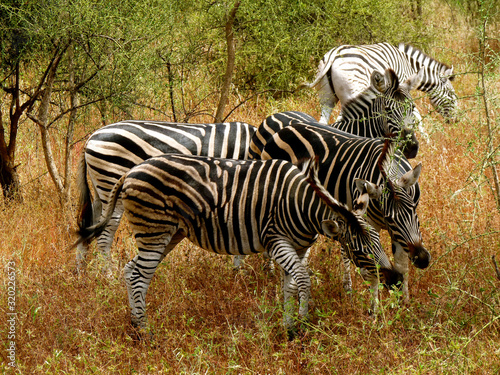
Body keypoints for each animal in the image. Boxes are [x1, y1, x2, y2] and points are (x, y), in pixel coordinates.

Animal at [76, 120, 256, 274]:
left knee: (88, 226)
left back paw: (81, 276)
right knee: (104, 235)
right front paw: (240, 271)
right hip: (112, 181)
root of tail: (91, 137)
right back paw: (110, 277)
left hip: (100, 189)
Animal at [76, 154, 400, 340]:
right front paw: (303, 324)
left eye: (379, 242)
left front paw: (289, 328)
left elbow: (290, 284)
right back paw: (145, 332)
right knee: (138, 275)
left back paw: (134, 324)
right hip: (154, 229)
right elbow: (304, 280)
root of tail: (130, 172)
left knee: (132, 270)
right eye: (359, 250)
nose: (395, 280)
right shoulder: (276, 240)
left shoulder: (297, 246)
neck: (303, 206)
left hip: (169, 233)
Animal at [250, 114, 430, 302]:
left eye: (414, 210)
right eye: (389, 219)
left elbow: (402, 265)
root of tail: (284, 129)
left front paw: (404, 302)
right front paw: (375, 306)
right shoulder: (371, 224)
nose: (423, 259)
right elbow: (373, 269)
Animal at [302, 42, 458, 125]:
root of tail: (333, 54)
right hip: (352, 93)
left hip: (327, 97)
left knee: (324, 120)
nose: (456, 121)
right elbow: (415, 113)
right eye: (452, 96)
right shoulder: (401, 88)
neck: (409, 65)